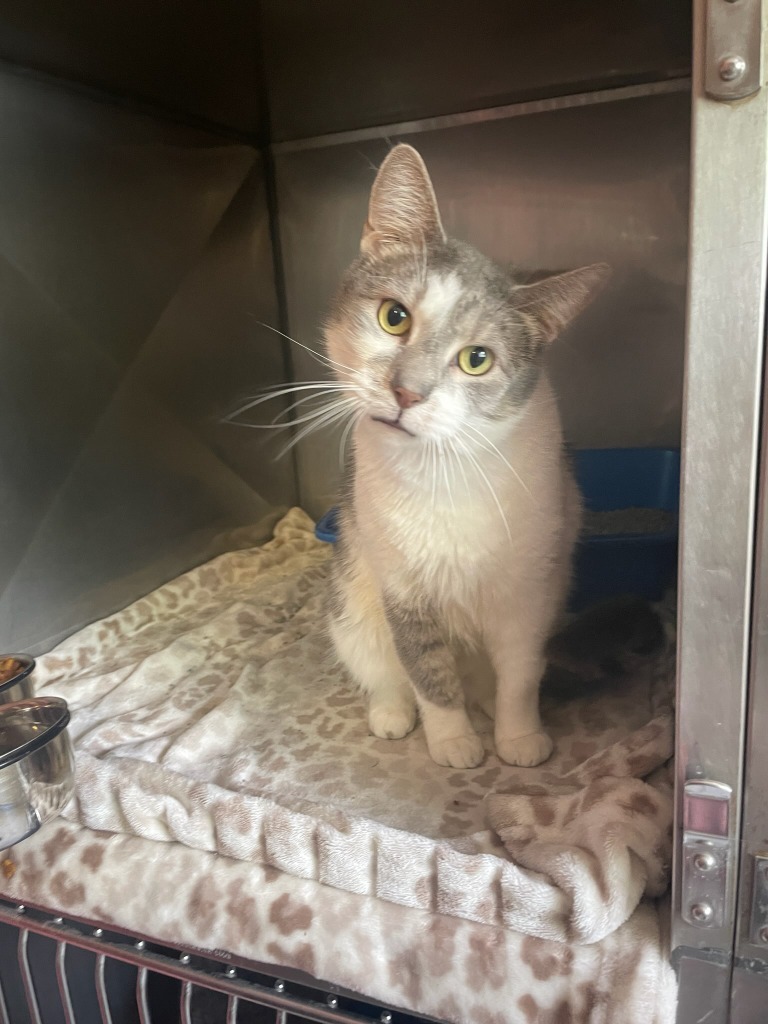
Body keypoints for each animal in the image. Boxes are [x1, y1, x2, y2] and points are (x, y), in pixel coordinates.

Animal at [323, 144, 606, 770]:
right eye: (394, 316)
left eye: (477, 359)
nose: (407, 393)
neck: (444, 467)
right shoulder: (402, 589)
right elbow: (427, 672)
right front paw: (453, 742)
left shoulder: (528, 591)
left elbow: (522, 674)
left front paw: (519, 739)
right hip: (351, 603)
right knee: (382, 667)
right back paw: (392, 713)